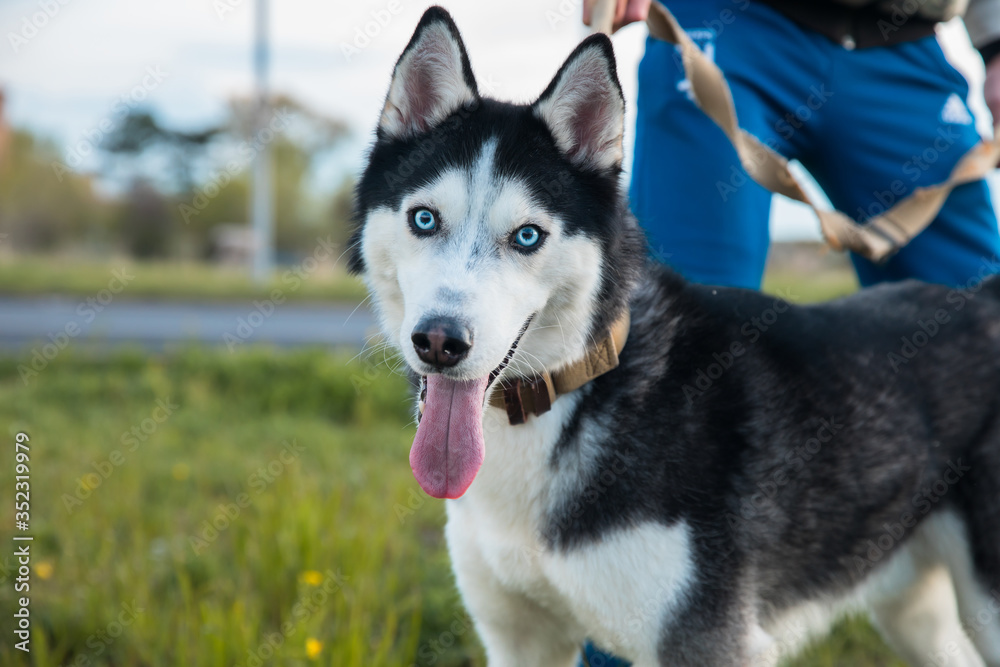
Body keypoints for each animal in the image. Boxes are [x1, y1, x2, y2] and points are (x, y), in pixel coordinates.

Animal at [350, 6, 1000, 667]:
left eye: (527, 236)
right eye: (424, 219)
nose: (439, 341)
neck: (571, 396)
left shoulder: (705, 641)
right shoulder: (519, 641)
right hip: (912, 614)